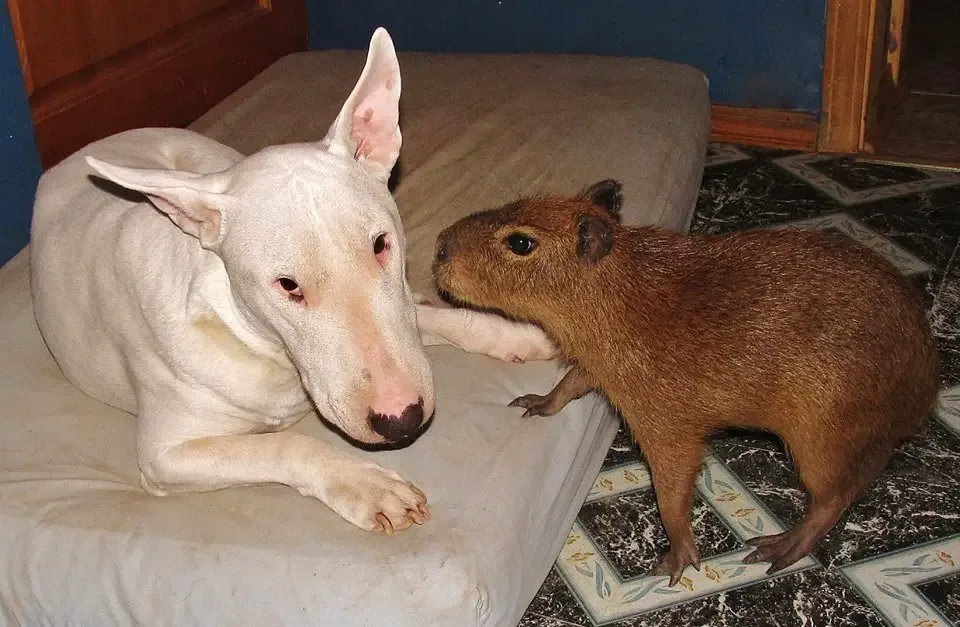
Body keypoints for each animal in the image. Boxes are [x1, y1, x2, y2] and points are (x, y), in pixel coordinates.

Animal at [30, 28, 560, 536]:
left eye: (380, 244)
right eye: (287, 285)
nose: (402, 421)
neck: (260, 345)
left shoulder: (400, 305)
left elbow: (424, 313)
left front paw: (517, 334)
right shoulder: (166, 455)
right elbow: (285, 445)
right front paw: (370, 488)